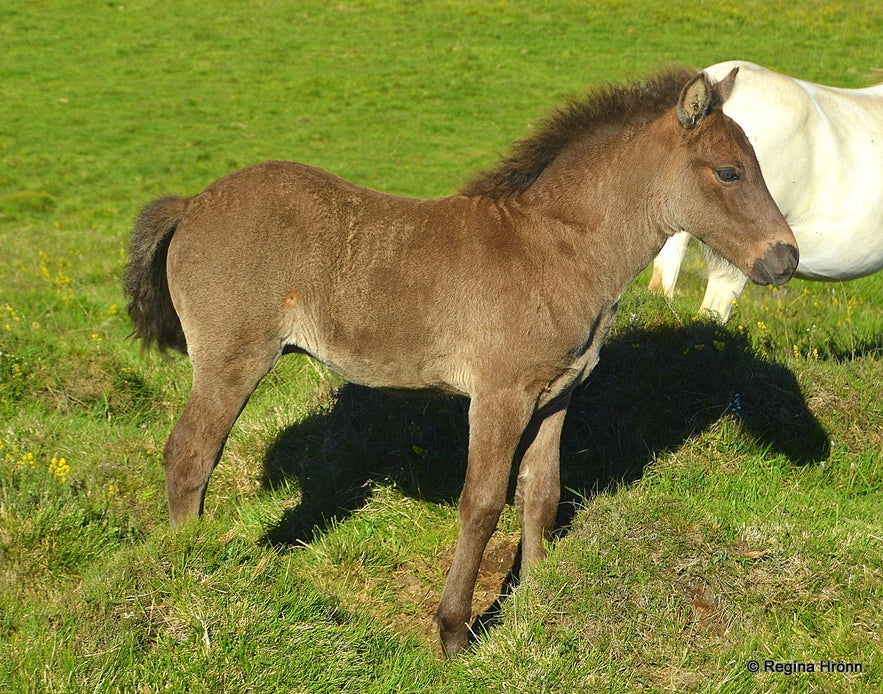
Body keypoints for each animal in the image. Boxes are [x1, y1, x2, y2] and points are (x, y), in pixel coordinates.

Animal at [126, 69, 800, 656]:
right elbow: (481, 503)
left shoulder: (557, 394)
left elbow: (541, 494)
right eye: (729, 172)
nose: (785, 259)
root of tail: (194, 202)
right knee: (189, 454)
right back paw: (192, 568)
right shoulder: (499, 397)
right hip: (233, 360)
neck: (552, 250)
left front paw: (536, 603)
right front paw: (453, 631)